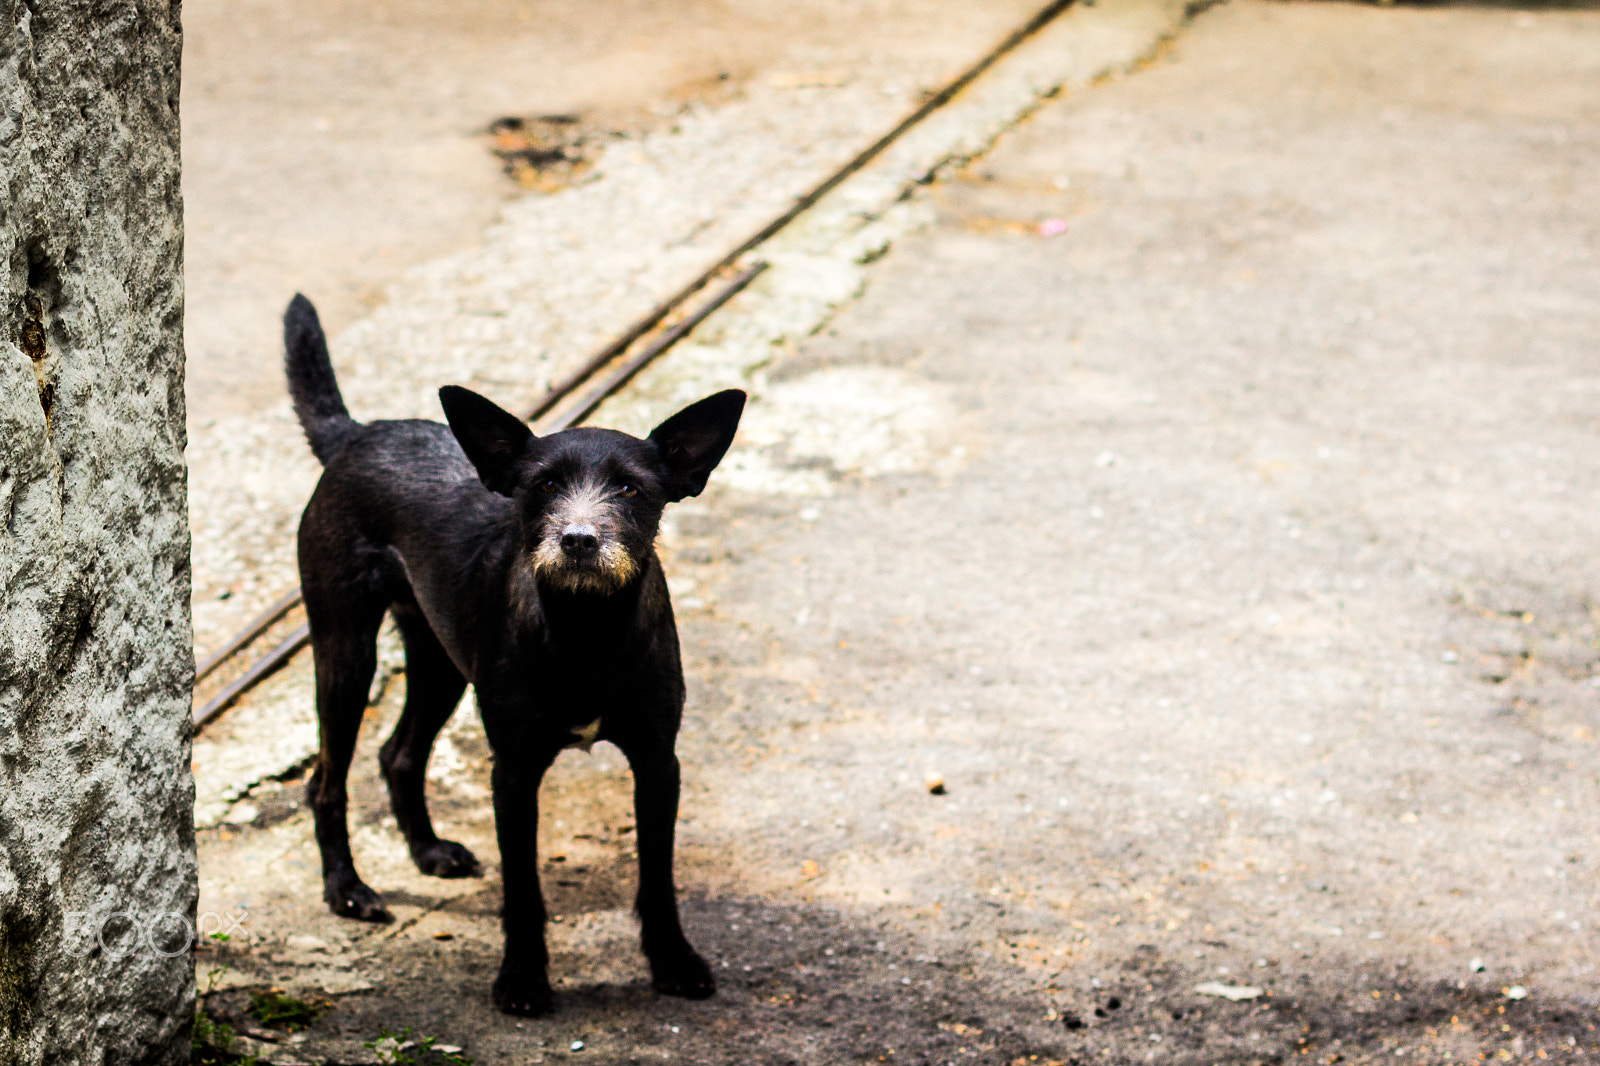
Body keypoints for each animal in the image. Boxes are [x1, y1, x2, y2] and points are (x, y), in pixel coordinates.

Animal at [283, 292, 742, 1011]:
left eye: (633, 490)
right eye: (543, 486)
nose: (579, 539)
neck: (584, 630)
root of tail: (358, 434)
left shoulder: (657, 762)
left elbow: (658, 877)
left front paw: (673, 960)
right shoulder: (515, 772)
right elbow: (523, 887)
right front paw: (523, 978)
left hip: (441, 660)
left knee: (398, 754)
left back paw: (428, 850)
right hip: (345, 650)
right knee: (326, 780)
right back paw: (347, 890)